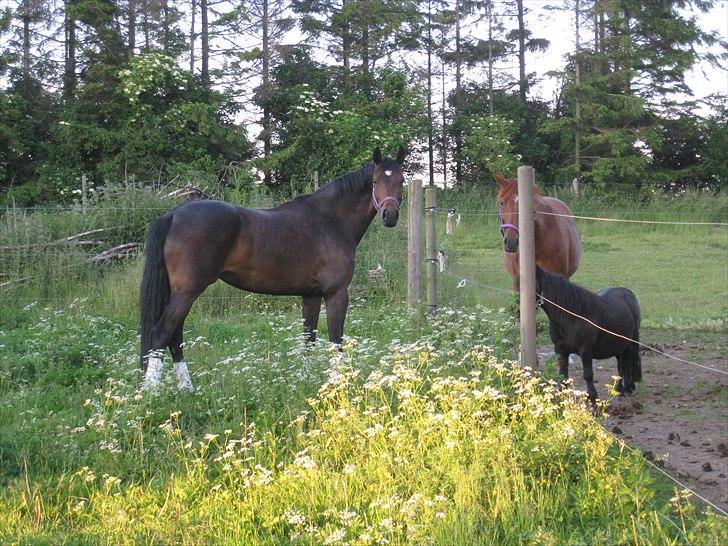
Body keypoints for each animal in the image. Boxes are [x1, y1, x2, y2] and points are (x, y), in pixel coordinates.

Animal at [139, 147, 406, 388]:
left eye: (402, 180)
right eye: (375, 180)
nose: (390, 215)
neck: (330, 221)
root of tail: (174, 214)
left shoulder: (310, 296)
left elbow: (309, 338)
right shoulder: (336, 294)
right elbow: (335, 339)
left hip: (181, 293)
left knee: (175, 336)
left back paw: (186, 388)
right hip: (187, 292)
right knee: (162, 332)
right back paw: (150, 393)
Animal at [536, 266, 644, 402]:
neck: (572, 317)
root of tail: (629, 294)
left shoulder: (586, 351)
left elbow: (588, 375)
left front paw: (592, 399)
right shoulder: (561, 351)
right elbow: (563, 375)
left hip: (630, 342)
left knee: (629, 362)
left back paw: (629, 388)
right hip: (619, 344)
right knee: (621, 365)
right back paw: (619, 390)